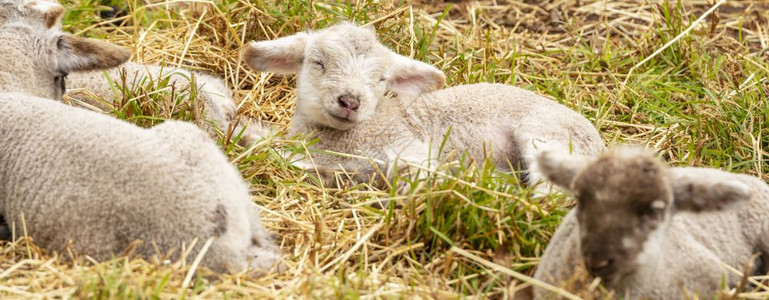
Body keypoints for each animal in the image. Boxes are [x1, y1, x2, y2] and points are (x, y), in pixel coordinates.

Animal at [240, 23, 608, 191]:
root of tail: (600, 144)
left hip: (547, 136)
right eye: (317, 63)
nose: (350, 102)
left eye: (381, 80)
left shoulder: (409, 148)